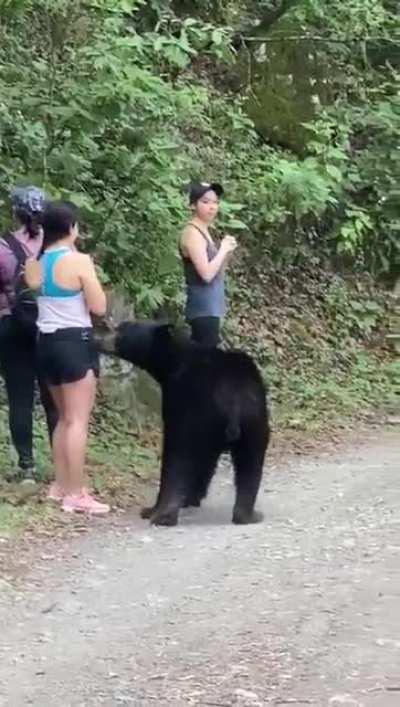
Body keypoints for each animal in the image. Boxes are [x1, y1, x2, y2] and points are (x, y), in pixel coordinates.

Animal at [97, 321, 270, 527]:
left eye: (122, 330)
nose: (97, 337)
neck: (172, 361)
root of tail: (233, 398)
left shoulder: (177, 399)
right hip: (253, 421)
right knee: (250, 463)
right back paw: (247, 515)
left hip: (201, 417)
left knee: (177, 459)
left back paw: (162, 514)